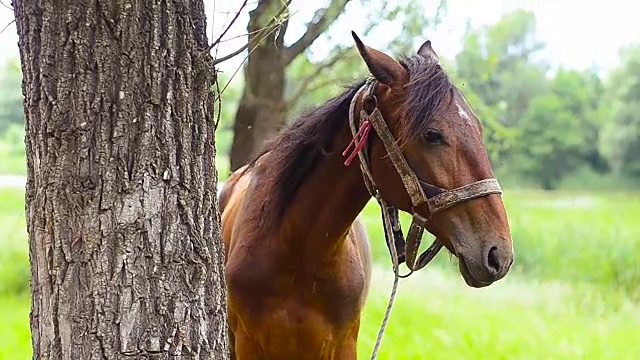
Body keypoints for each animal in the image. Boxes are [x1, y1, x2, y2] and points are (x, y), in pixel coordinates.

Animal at [219, 32, 516, 358]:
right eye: (432, 135)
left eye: (478, 128)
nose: (498, 254)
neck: (298, 253)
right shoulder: (247, 343)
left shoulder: (344, 344)